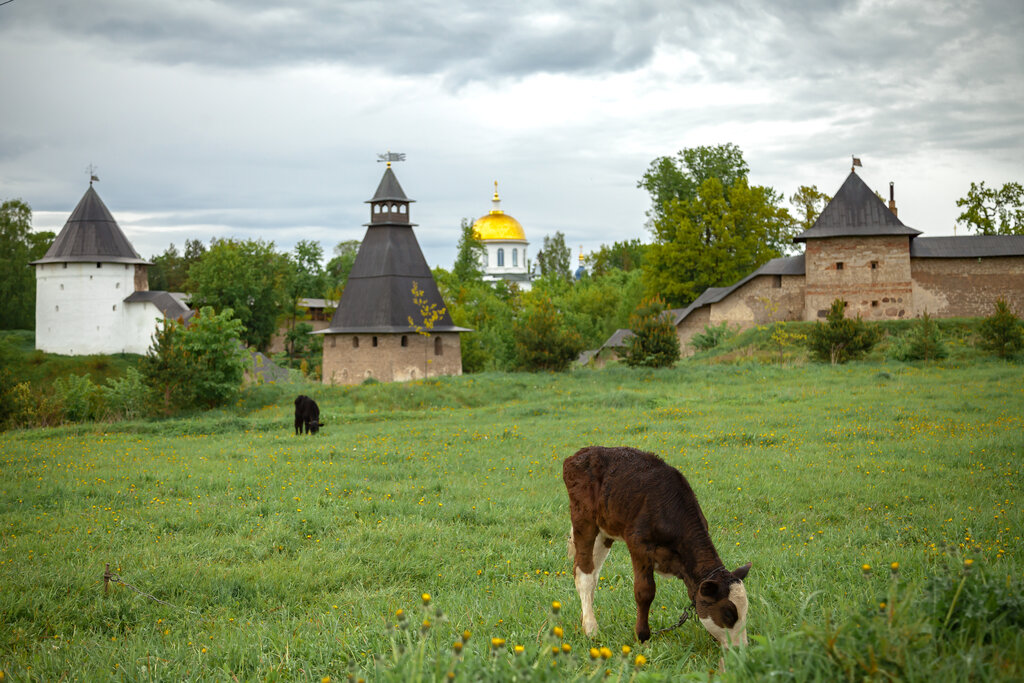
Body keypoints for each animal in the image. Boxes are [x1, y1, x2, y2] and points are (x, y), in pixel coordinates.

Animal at [565, 448, 749, 647]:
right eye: (728, 613)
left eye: (745, 612)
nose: (742, 648)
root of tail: (583, 452)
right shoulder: (639, 546)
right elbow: (644, 592)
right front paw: (642, 635)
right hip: (584, 520)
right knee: (584, 574)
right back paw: (591, 629)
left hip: (605, 530)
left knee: (592, 573)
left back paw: (585, 620)